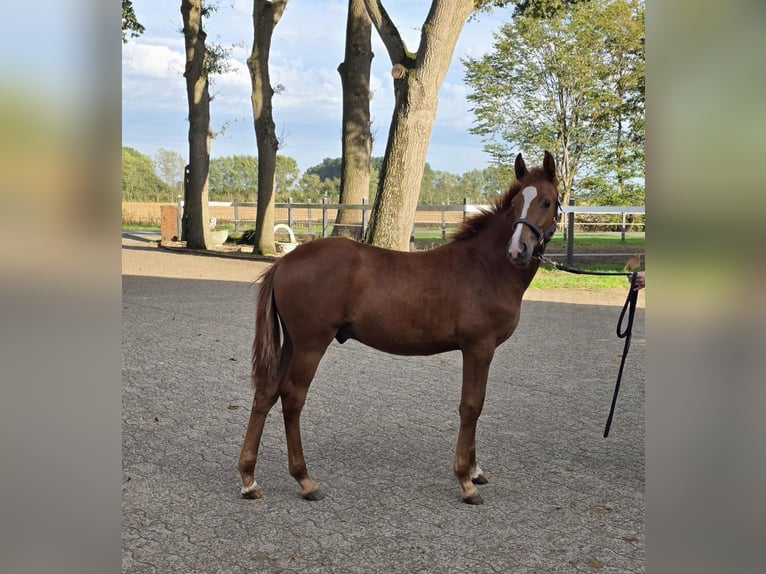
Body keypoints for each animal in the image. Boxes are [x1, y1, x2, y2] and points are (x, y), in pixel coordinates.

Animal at [238, 151, 561, 505]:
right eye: (516, 203)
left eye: (547, 201)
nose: (518, 250)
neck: (486, 268)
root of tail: (284, 261)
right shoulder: (478, 347)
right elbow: (470, 406)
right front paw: (466, 481)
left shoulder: (483, 352)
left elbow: (479, 403)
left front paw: (475, 471)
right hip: (311, 344)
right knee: (292, 397)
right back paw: (305, 480)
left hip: (292, 343)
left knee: (266, 393)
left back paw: (249, 479)